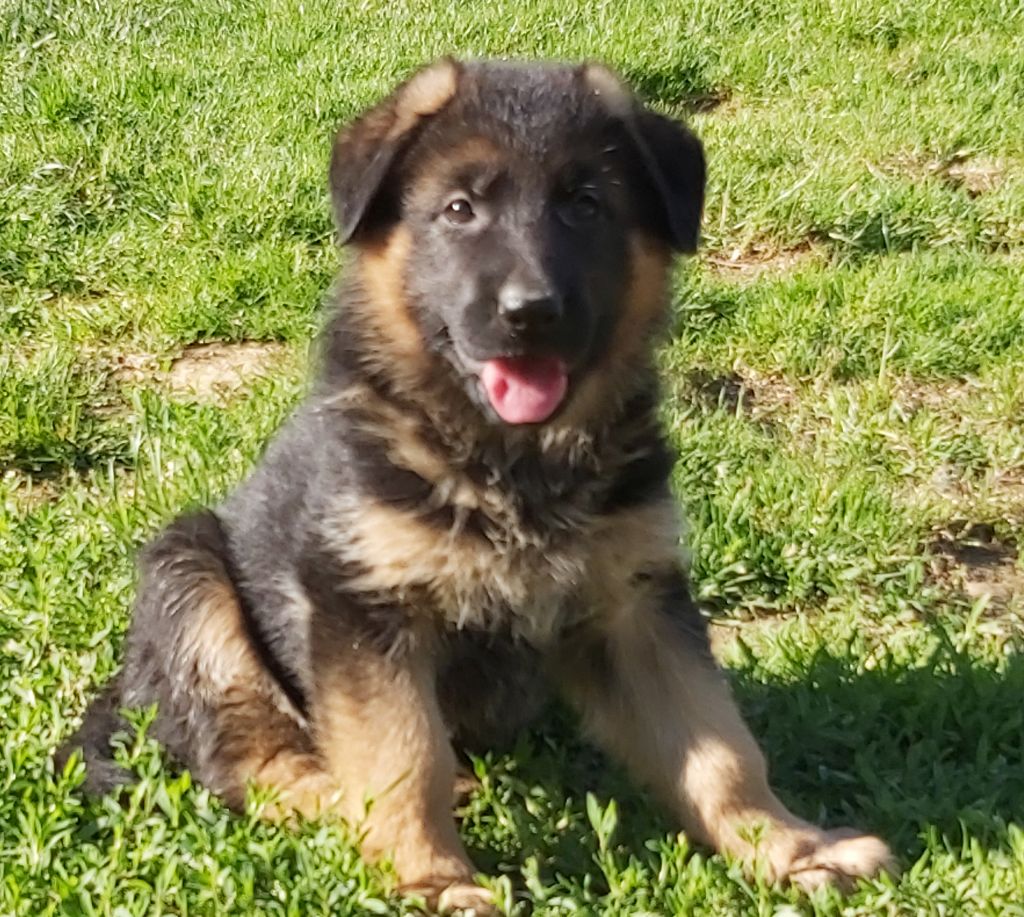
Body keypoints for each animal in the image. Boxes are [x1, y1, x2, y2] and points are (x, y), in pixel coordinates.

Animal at [59, 60, 892, 912]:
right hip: (189, 572)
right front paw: (427, 877)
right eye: (459, 210)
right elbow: (403, 756)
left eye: (585, 204)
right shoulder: (366, 608)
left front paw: (788, 847)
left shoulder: (640, 601)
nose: (531, 313)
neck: (512, 462)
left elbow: (719, 745)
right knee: (247, 756)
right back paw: (338, 798)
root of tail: (129, 692)